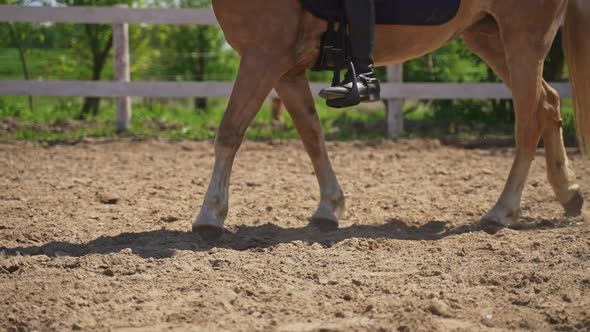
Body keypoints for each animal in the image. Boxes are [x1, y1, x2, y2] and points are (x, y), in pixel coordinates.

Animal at [192, 0, 588, 239]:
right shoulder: (286, 70)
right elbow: (311, 135)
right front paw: (328, 208)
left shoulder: (263, 57)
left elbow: (229, 131)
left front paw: (210, 215)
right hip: (488, 36)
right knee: (548, 104)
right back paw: (568, 194)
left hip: (524, 38)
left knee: (528, 122)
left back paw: (502, 211)